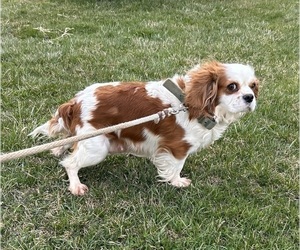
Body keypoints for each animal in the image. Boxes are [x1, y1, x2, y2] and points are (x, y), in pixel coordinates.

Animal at [29, 60, 258, 195]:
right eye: (232, 87)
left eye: (253, 86)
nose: (250, 97)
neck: (191, 103)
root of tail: (76, 102)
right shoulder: (177, 147)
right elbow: (177, 166)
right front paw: (177, 182)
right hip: (97, 147)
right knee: (70, 164)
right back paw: (75, 186)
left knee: (66, 142)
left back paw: (58, 149)